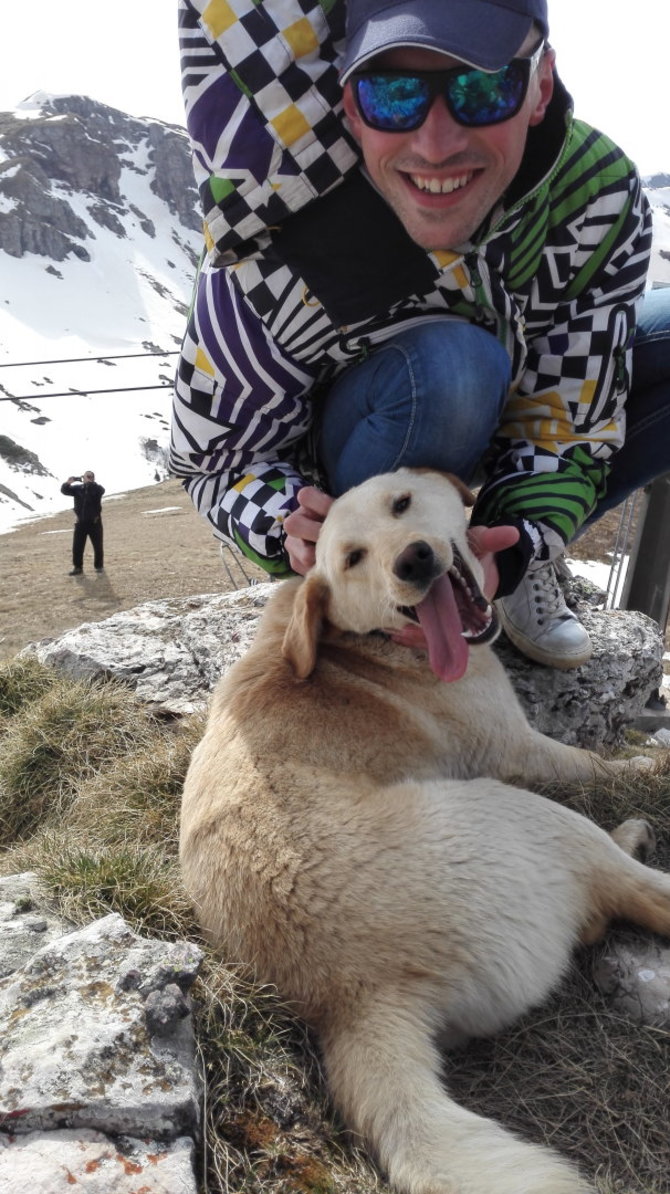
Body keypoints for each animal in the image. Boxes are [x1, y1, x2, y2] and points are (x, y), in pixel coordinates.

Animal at [179, 468, 668, 1194]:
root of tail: (354, 998)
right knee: (637, 891)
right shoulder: (517, 750)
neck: (356, 645)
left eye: (402, 504)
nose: (412, 560)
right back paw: (631, 840)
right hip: (521, 813)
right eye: (353, 558)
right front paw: (645, 764)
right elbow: (595, 762)